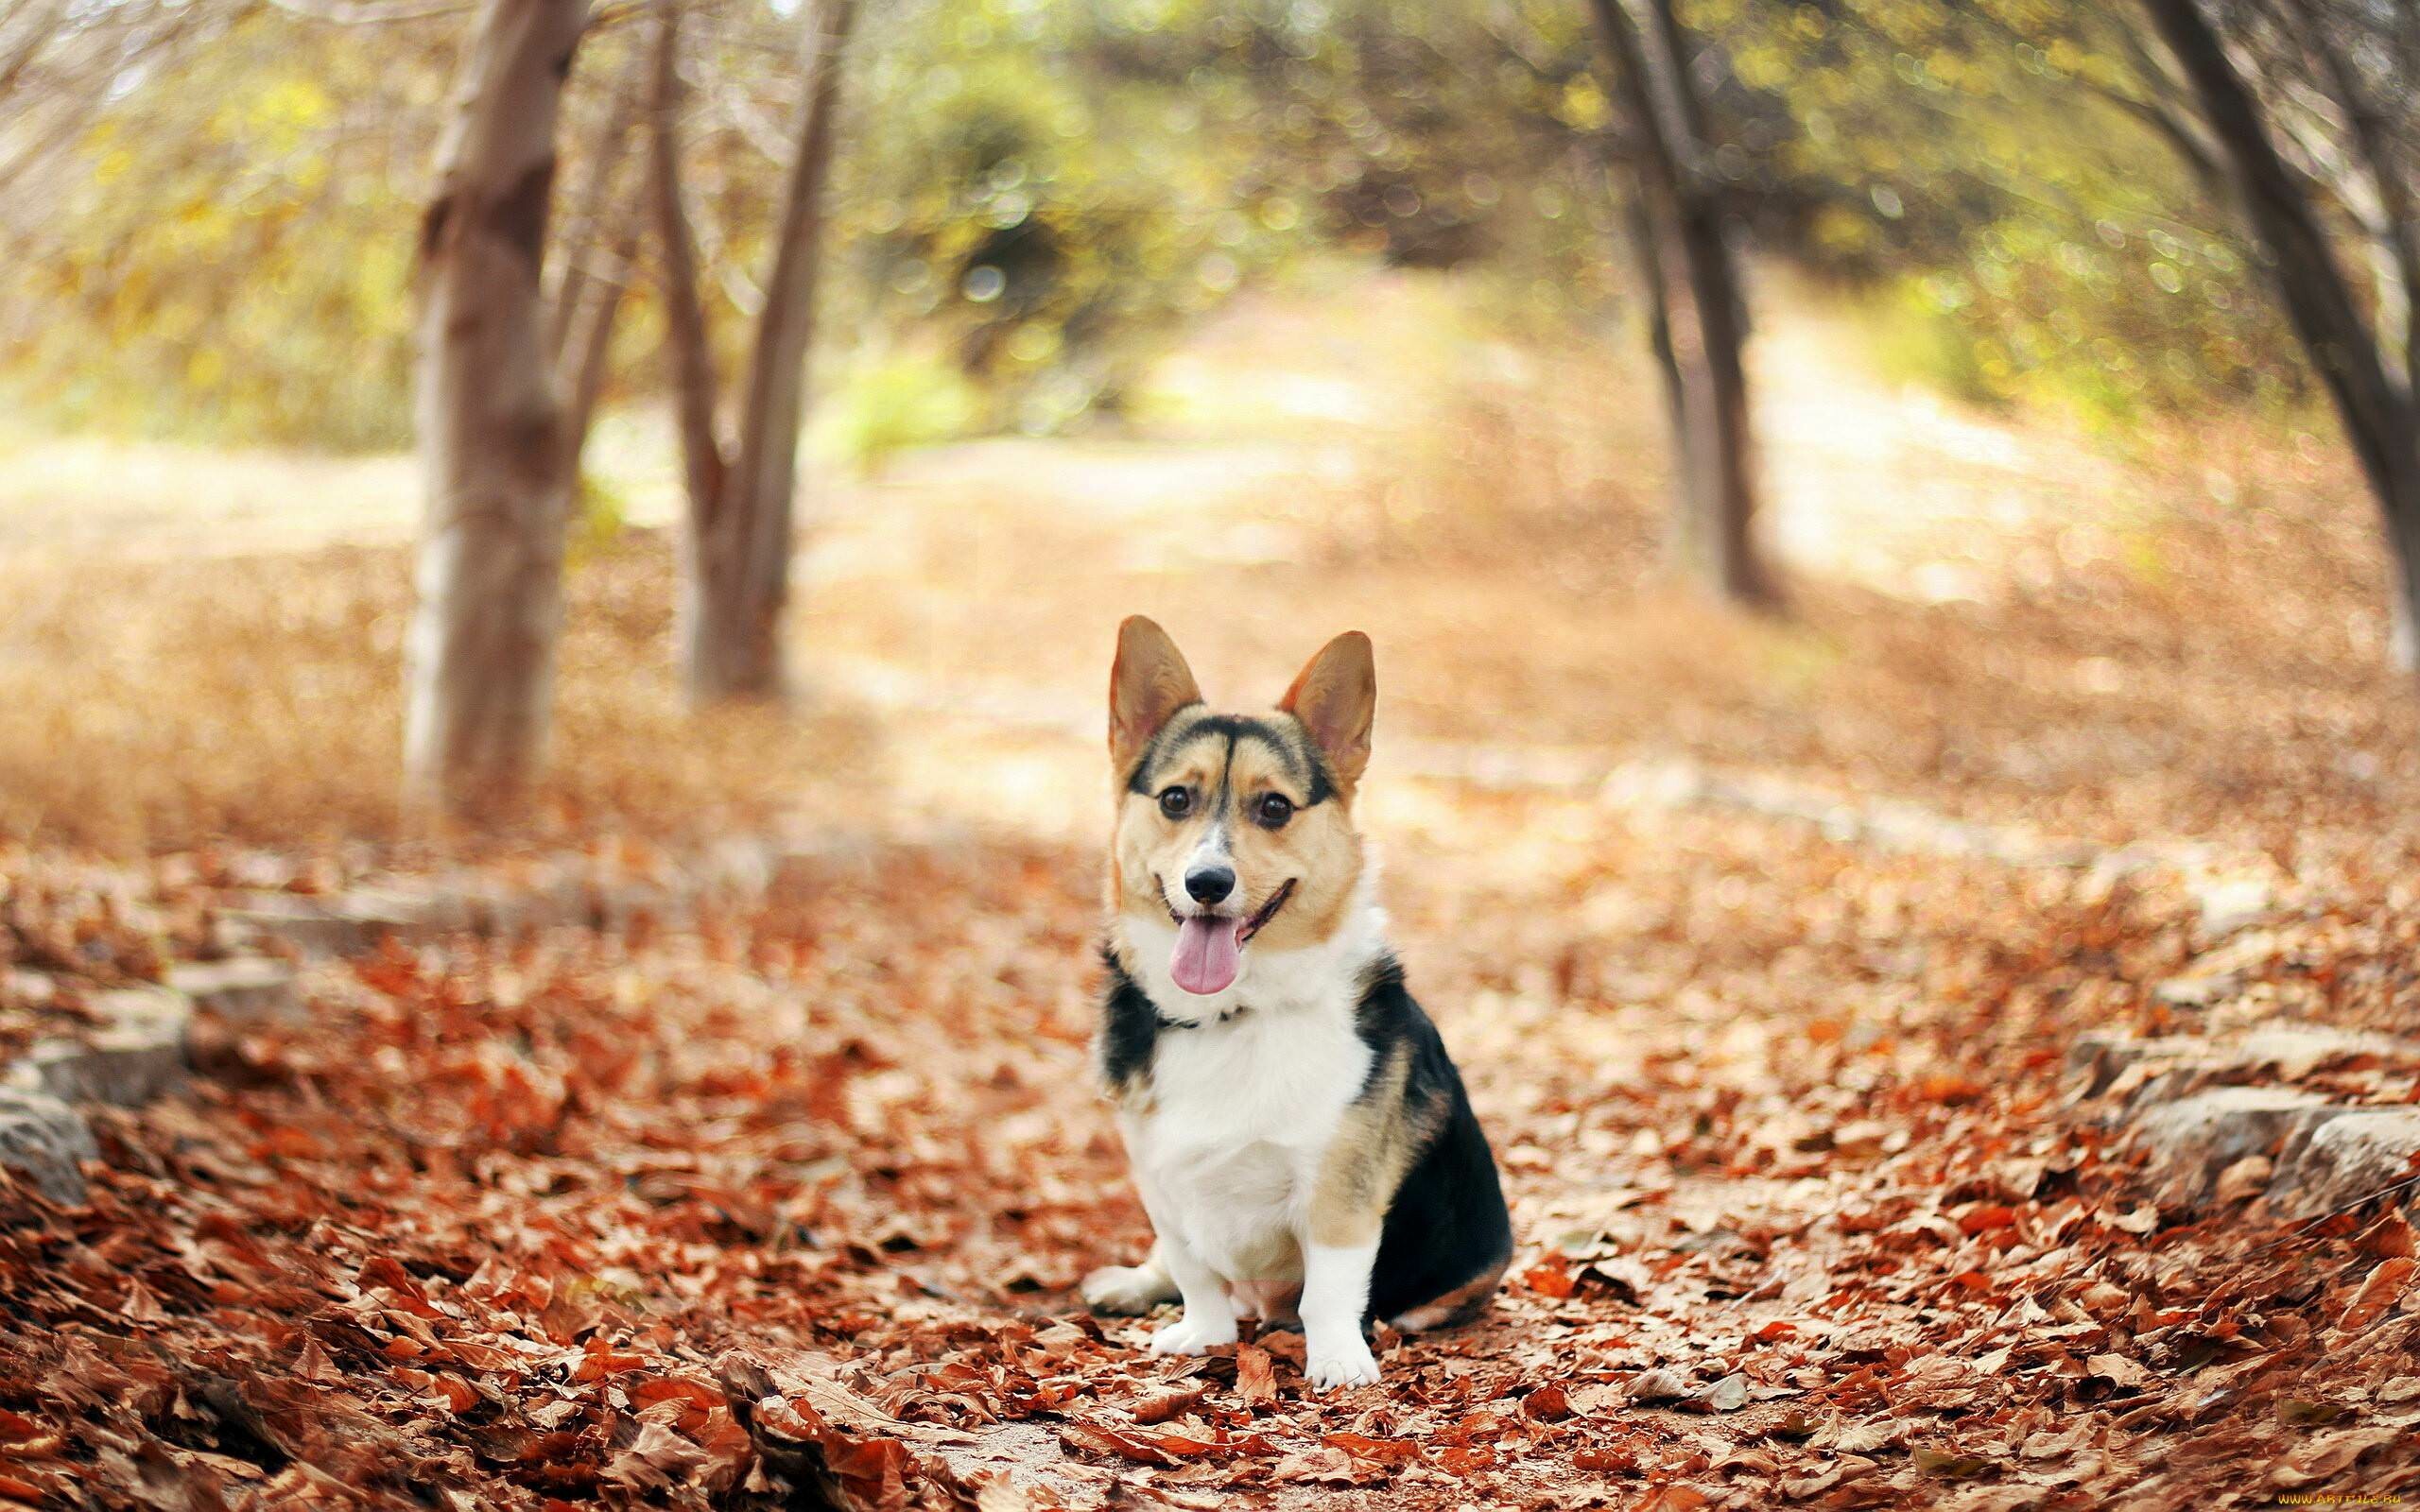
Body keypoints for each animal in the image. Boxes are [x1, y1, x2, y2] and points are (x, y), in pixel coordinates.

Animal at [1083, 616, 1510, 1393]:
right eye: (1176, 799)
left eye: (1275, 807)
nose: (1208, 882)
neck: (1232, 1013)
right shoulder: (1162, 1180)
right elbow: (1194, 1272)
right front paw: (1203, 1336)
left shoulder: (1339, 1190)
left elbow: (1329, 1291)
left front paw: (1339, 1360)